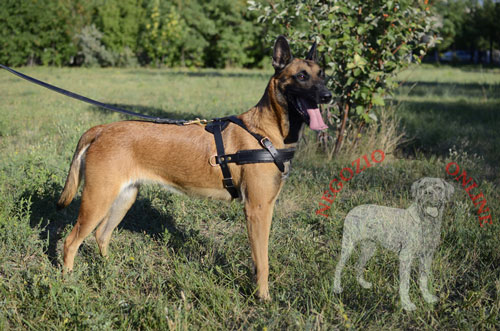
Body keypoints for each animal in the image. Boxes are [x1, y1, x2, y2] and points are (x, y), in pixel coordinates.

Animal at [57, 36, 332, 300]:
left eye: (323, 74)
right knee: (71, 242)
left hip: (123, 199)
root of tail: (101, 129)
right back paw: (67, 282)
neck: (264, 131)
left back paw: (109, 269)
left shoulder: (266, 207)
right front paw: (263, 298)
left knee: (101, 235)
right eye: (301, 76)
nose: (328, 96)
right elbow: (262, 262)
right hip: (97, 200)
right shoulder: (257, 209)